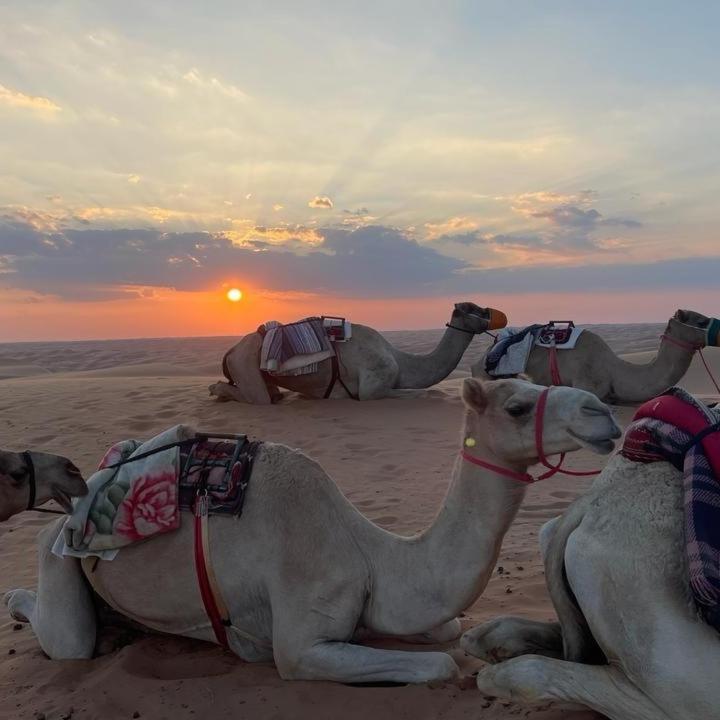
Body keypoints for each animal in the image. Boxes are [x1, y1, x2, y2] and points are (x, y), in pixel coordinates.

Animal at [4, 380, 620, 684]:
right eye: (516, 406)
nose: (603, 413)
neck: (371, 555)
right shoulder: (300, 646)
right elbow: (442, 666)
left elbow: (447, 630)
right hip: (58, 555)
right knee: (68, 638)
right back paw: (17, 599)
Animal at [208, 302, 506, 404]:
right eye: (476, 309)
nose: (499, 315)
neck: (401, 362)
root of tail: (230, 351)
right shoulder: (372, 387)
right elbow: (421, 393)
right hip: (245, 362)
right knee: (257, 397)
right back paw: (217, 392)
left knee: (273, 394)